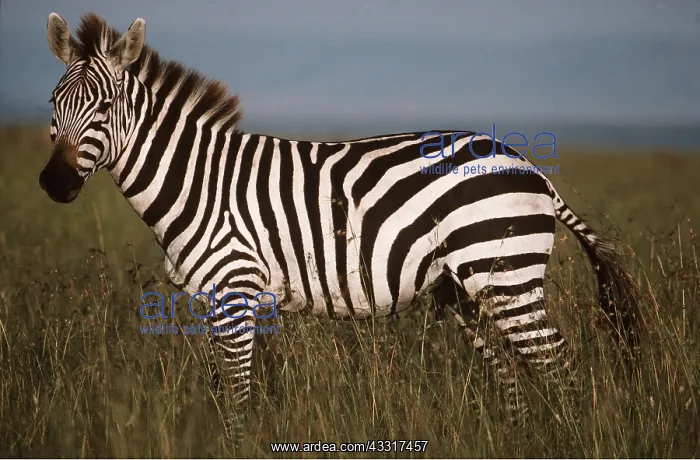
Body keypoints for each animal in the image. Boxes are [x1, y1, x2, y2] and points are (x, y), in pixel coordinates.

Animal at [40, 12, 640, 441]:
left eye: (104, 107)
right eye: (52, 103)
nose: (53, 183)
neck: (196, 181)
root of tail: (531, 166)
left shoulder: (235, 289)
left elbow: (236, 395)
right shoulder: (211, 298)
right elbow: (221, 390)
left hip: (507, 276)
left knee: (559, 367)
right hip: (466, 292)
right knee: (514, 375)